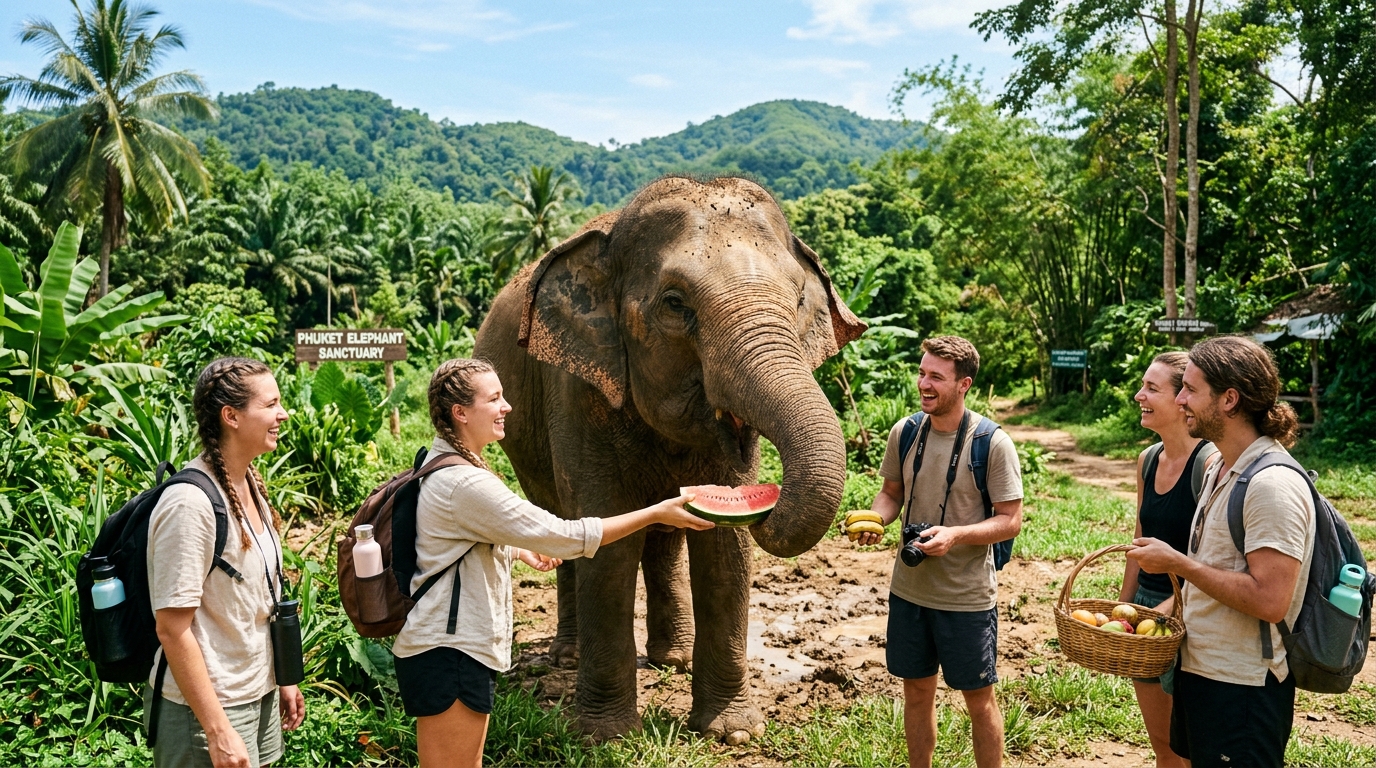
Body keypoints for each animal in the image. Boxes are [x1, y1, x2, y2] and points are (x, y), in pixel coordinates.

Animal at [473, 175, 865, 742]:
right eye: (676, 304)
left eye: (797, 299)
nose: (773, 504)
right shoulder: (578, 389)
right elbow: (606, 543)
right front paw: (607, 736)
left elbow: (726, 551)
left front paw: (732, 732)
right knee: (561, 525)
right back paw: (568, 659)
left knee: (661, 539)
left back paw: (672, 660)